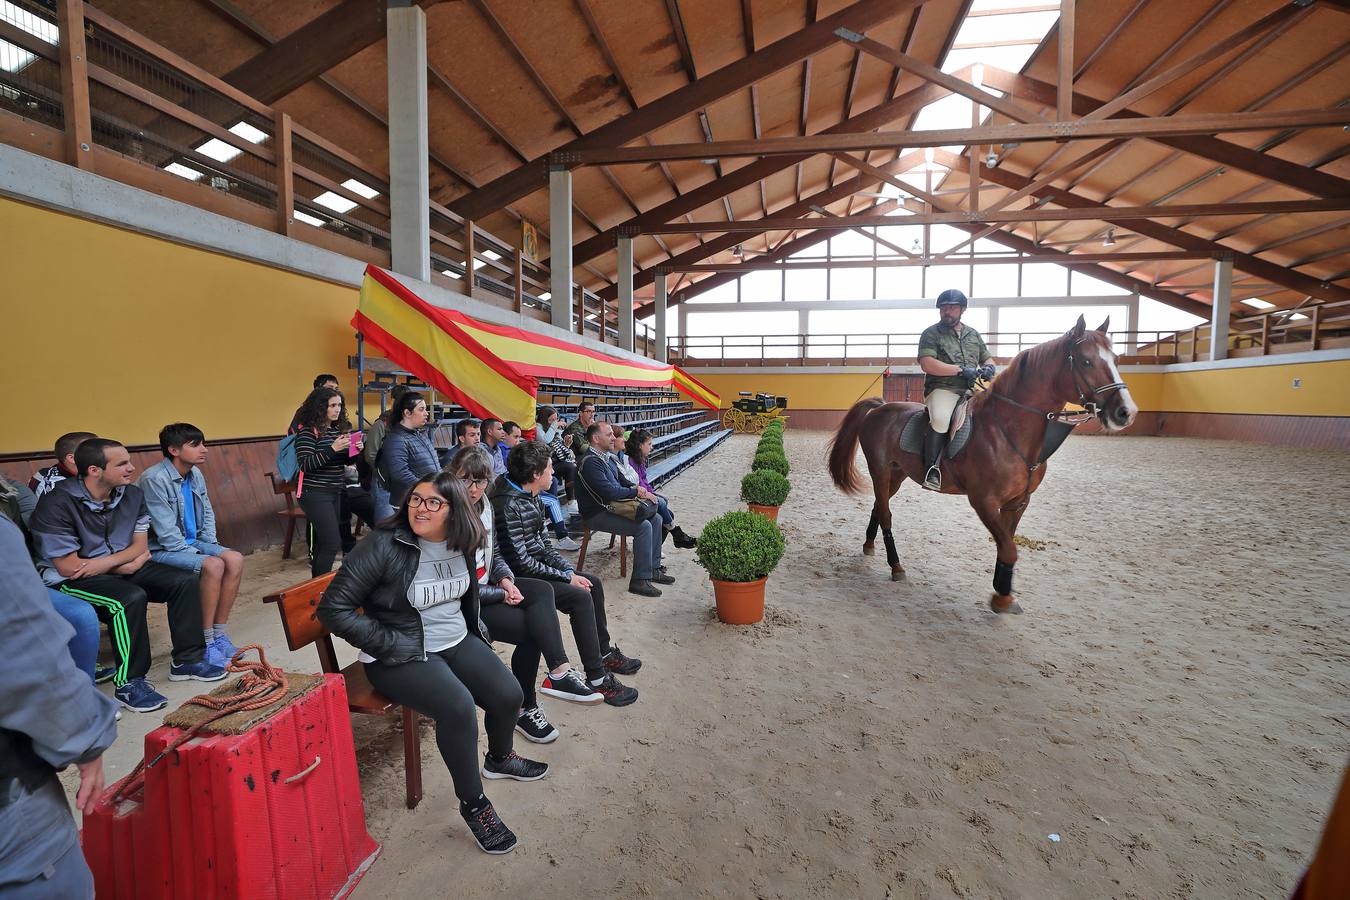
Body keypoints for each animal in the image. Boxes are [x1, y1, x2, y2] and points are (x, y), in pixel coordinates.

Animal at [826, 313, 1134, 615]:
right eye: (1086, 361)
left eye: (1116, 359)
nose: (1126, 412)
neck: (1007, 430)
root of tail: (880, 407)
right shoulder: (983, 501)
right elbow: (1008, 548)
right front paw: (1002, 599)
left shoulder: (1017, 503)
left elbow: (1006, 544)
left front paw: (1003, 592)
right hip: (879, 471)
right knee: (887, 514)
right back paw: (896, 566)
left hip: (897, 475)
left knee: (879, 506)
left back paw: (869, 545)